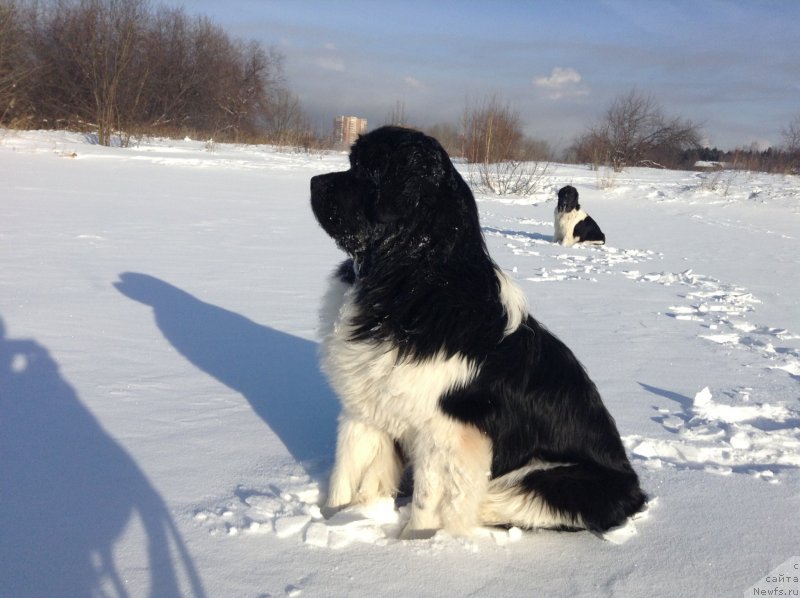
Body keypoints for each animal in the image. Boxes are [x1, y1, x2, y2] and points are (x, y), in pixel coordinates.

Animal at [310, 126, 648, 540]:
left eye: (368, 170)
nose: (314, 182)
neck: (406, 283)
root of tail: (634, 489)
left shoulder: (448, 432)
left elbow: (431, 502)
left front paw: (415, 543)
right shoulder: (367, 410)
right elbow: (348, 474)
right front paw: (339, 520)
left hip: (543, 481)